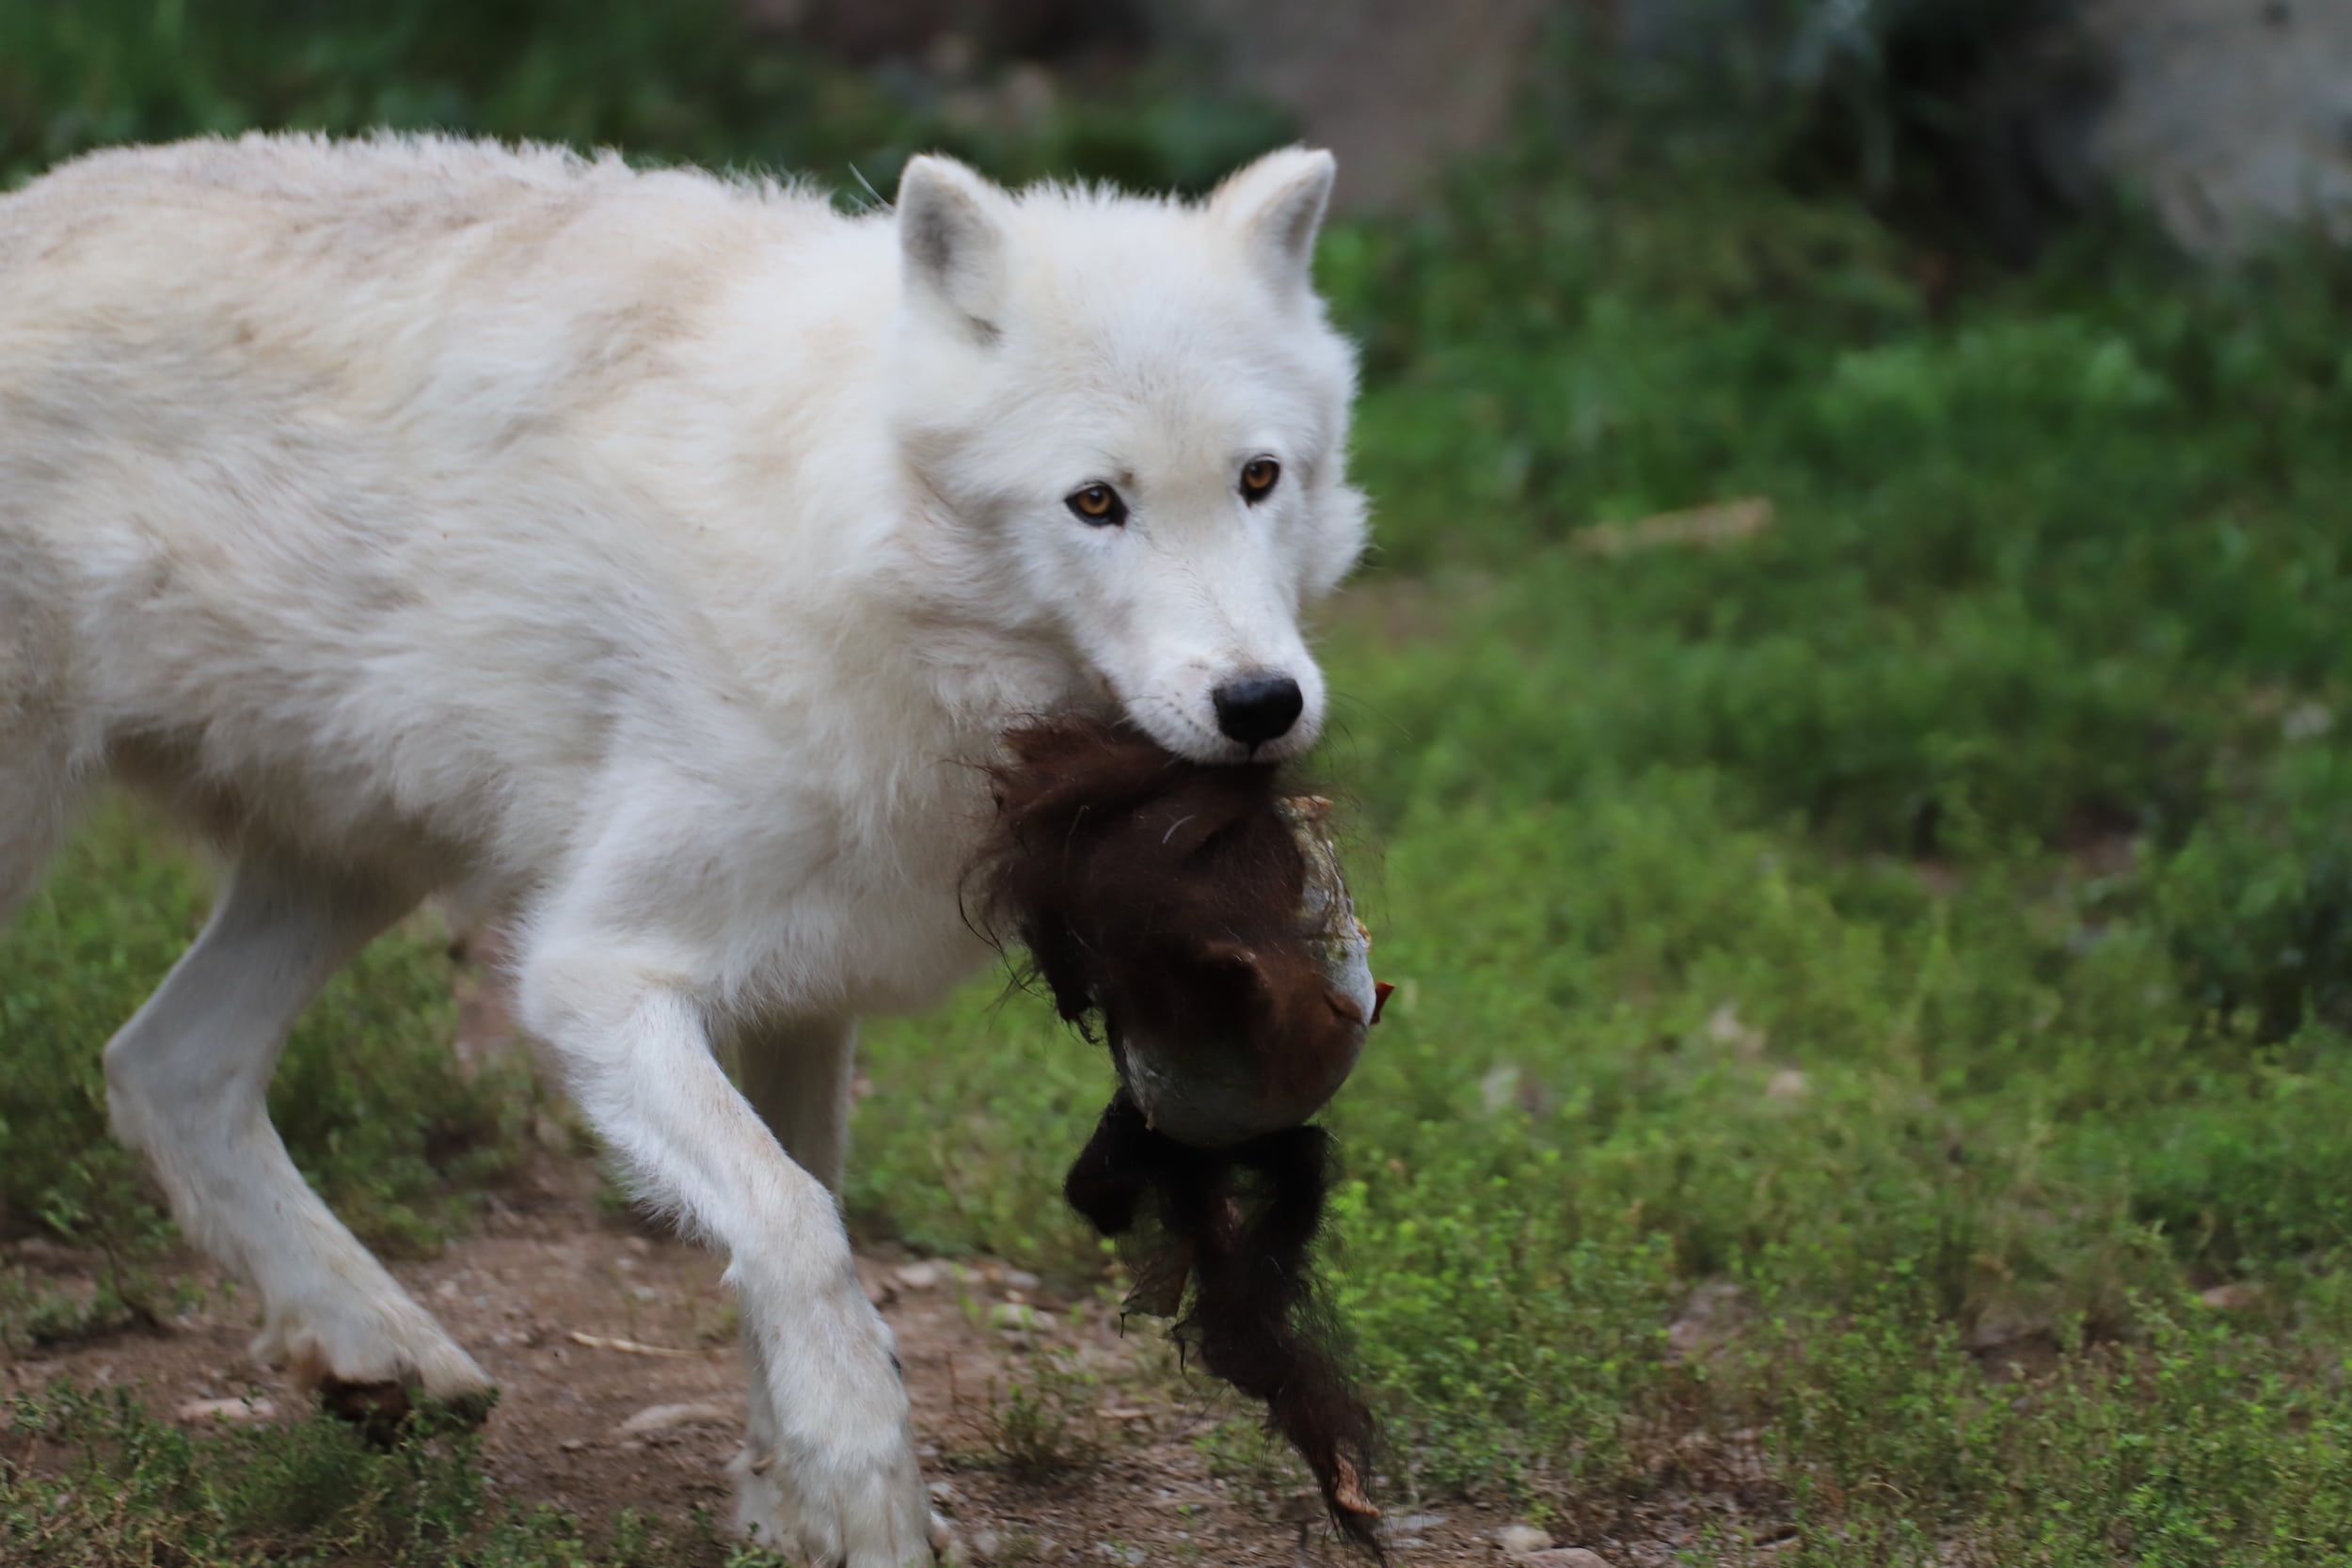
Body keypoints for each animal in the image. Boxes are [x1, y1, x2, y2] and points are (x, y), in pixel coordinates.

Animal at [0, 132, 1368, 1566]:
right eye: (1095, 501)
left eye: (1259, 478)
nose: (1261, 702)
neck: (860, 570)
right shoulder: (589, 974)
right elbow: (799, 1226)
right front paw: (866, 1489)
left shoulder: (803, 989)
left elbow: (797, 1217)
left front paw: (780, 1504)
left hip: (351, 861)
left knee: (166, 1065)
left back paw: (379, 1348)